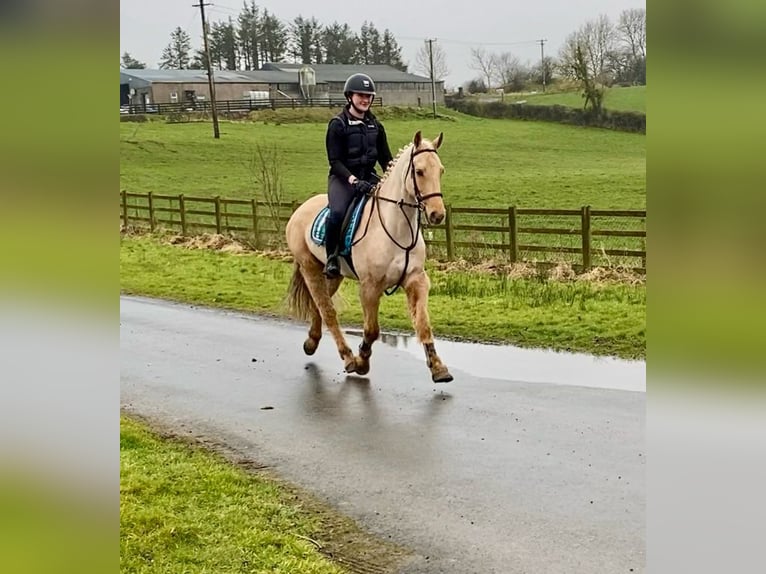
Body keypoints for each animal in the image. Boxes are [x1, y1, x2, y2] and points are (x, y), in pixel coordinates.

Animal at [288, 130, 456, 382]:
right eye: (419, 171)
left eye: (441, 170)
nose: (437, 214)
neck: (397, 228)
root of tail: (299, 210)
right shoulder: (370, 286)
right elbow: (371, 330)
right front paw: (362, 361)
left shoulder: (416, 280)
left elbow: (423, 323)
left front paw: (438, 368)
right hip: (310, 268)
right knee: (327, 310)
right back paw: (348, 357)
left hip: (334, 275)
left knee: (320, 306)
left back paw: (312, 341)